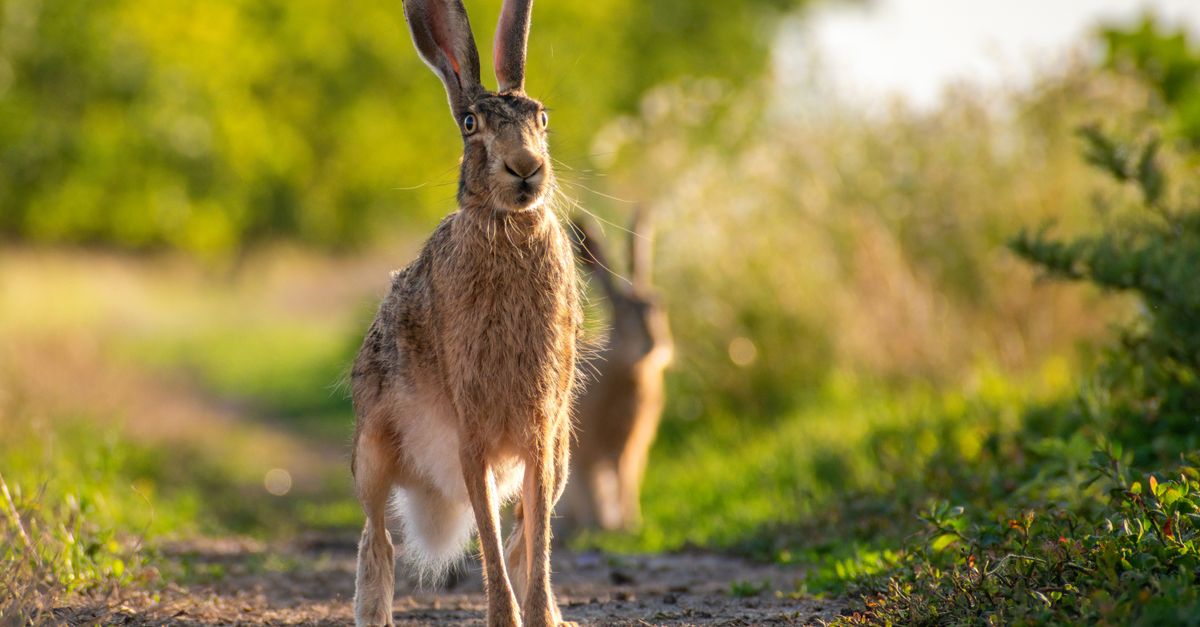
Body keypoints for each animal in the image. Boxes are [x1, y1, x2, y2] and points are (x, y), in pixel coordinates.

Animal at [350, 1, 580, 625]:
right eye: (471, 125)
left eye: (542, 119)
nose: (525, 167)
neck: (507, 225)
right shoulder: (471, 433)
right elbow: (490, 540)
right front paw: (505, 617)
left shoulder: (541, 435)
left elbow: (535, 543)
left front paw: (541, 617)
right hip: (372, 451)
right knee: (377, 539)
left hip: (562, 456)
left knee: (524, 538)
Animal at [564, 209, 673, 531]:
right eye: (622, 312)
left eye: (660, 306)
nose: (654, 344)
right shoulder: (585, 449)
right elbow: (588, 487)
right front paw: (599, 527)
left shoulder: (629, 446)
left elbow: (625, 481)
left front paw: (629, 524)